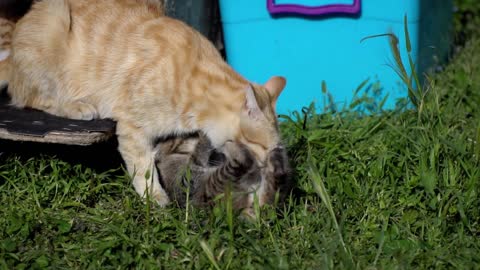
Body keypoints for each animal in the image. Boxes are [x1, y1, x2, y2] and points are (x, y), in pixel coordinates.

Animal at [3, 0, 286, 205]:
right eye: (260, 149)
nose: (265, 172)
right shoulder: (132, 128)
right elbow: (143, 166)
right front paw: (154, 196)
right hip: (54, 19)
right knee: (31, 98)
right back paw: (77, 106)